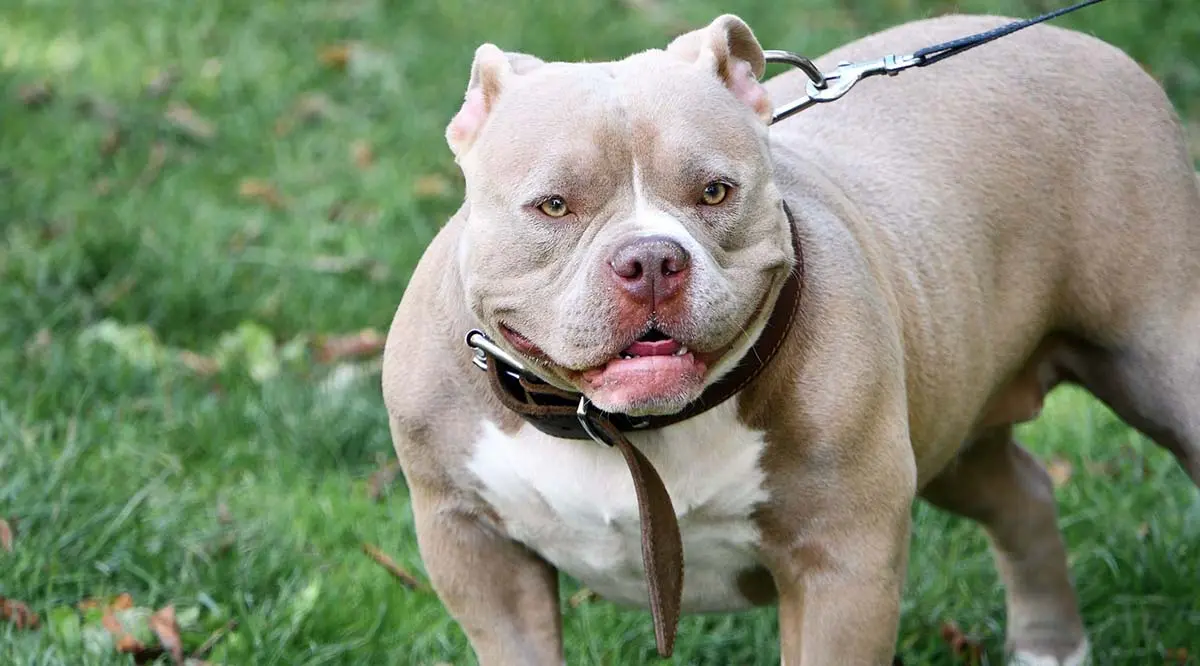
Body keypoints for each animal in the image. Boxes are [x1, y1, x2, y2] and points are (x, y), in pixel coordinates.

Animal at [381, 11, 1200, 666]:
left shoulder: (843, 566)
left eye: (715, 191)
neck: (625, 428)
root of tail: (1080, 41)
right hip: (950, 417)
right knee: (1024, 492)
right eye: (553, 205)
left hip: (1161, 364)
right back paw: (1049, 649)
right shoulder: (472, 548)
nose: (651, 261)